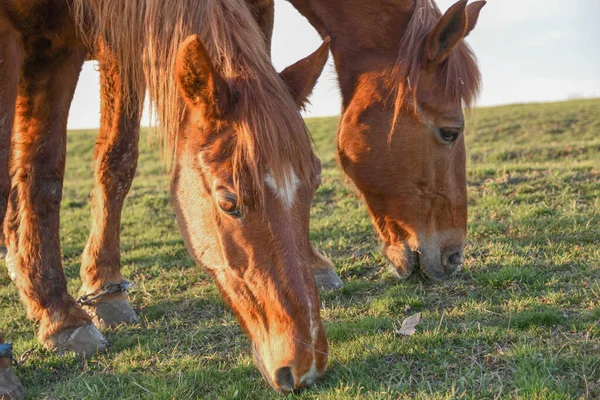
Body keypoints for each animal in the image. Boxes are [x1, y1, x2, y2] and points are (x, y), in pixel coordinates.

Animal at [0, 0, 330, 392]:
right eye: (228, 202)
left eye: (315, 183)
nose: (306, 366)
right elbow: (38, 172)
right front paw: (57, 318)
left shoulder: (97, 44)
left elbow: (111, 159)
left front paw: (93, 295)